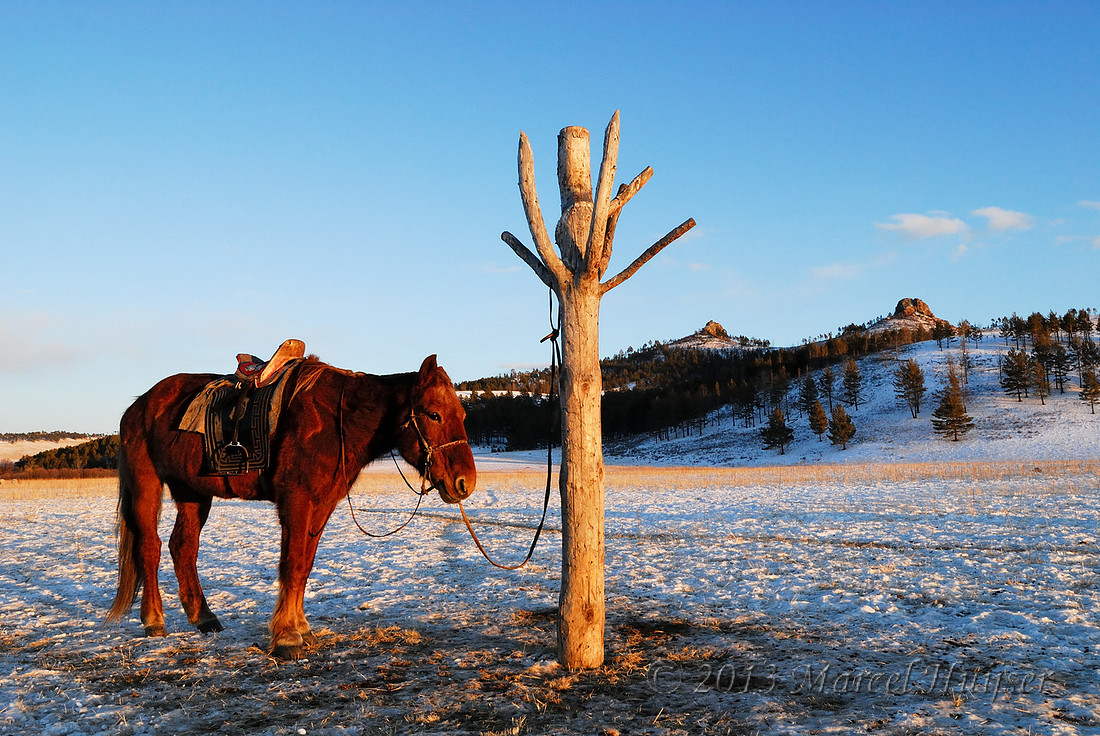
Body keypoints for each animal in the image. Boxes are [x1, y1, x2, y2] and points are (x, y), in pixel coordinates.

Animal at [104, 354, 475, 659]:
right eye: (434, 414)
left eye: (462, 414)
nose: (464, 483)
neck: (338, 420)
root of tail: (140, 405)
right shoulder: (296, 502)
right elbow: (292, 565)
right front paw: (286, 637)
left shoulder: (321, 506)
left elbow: (305, 565)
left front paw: (301, 628)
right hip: (146, 486)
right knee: (149, 548)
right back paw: (154, 620)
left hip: (193, 493)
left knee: (183, 546)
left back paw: (204, 617)